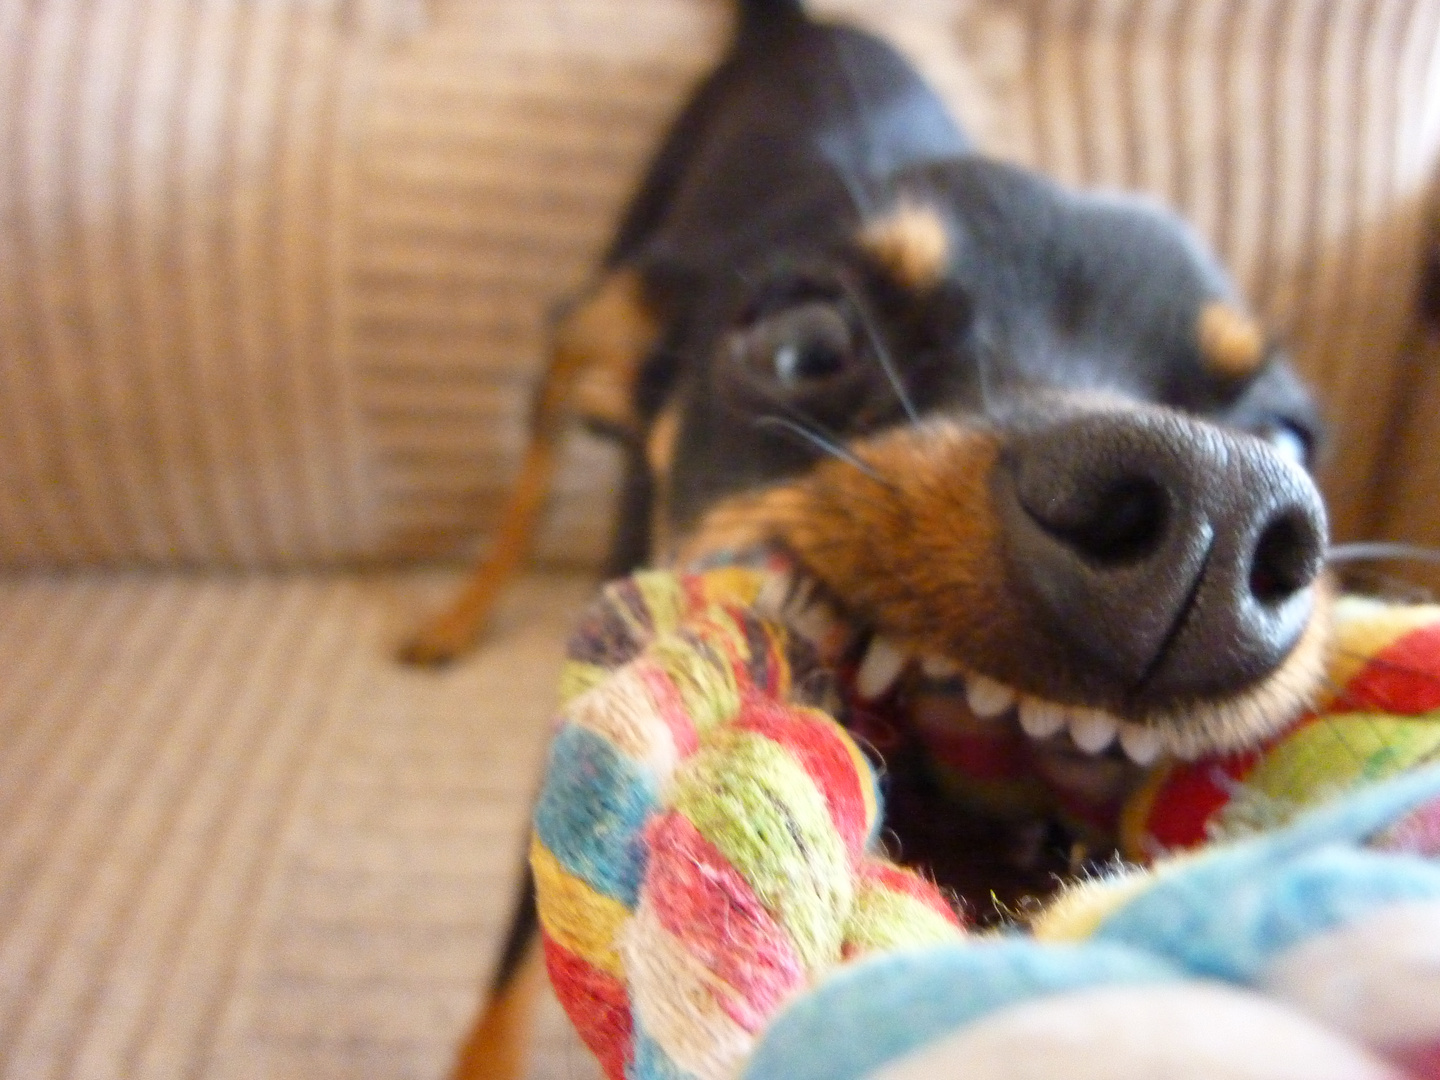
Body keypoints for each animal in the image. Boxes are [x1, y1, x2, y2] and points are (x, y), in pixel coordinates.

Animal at [411, 4, 1330, 1077]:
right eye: (803, 348)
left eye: (1286, 439)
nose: (1214, 510)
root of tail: (792, 23)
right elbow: (505, 982)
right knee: (534, 470)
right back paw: (456, 615)